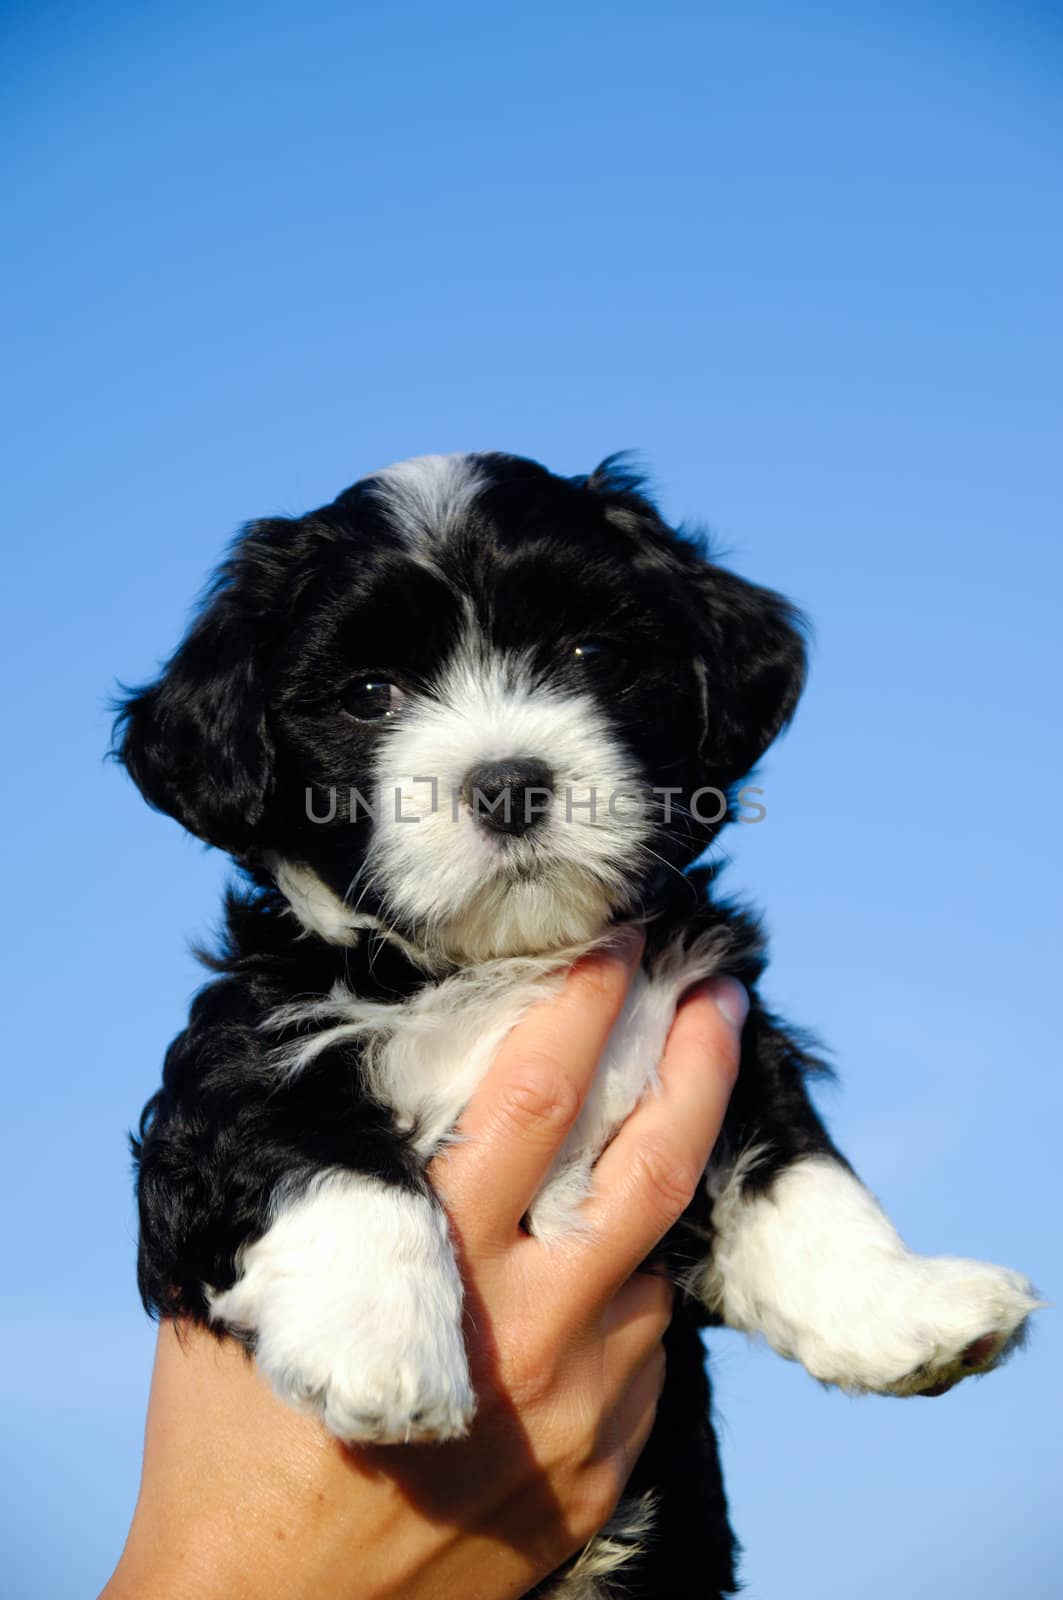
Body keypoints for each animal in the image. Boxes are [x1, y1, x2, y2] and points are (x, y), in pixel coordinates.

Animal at [116, 454, 1037, 1600]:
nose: (508, 784)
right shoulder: (239, 1060)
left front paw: (903, 1307)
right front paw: (380, 1343)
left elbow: (799, 1169)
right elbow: (319, 1150)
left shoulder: (711, 1017)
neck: (503, 963)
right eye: (369, 693)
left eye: (591, 655)